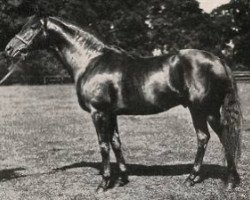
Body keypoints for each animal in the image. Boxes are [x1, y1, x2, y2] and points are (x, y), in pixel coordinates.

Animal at [4, 15, 242, 191]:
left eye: (33, 27)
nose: (9, 49)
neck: (91, 61)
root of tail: (218, 60)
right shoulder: (111, 113)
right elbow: (116, 142)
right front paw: (122, 179)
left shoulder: (98, 112)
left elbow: (103, 145)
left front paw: (103, 183)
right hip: (199, 110)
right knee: (208, 137)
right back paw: (201, 178)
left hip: (206, 110)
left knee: (221, 137)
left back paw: (225, 181)